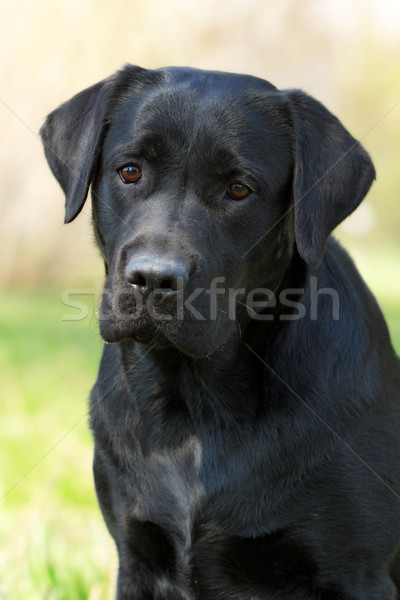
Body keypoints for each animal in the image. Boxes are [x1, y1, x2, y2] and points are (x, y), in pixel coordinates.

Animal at [40, 67, 400, 600]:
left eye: (238, 188)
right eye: (130, 171)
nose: (154, 277)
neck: (196, 413)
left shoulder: (357, 570)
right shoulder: (137, 555)